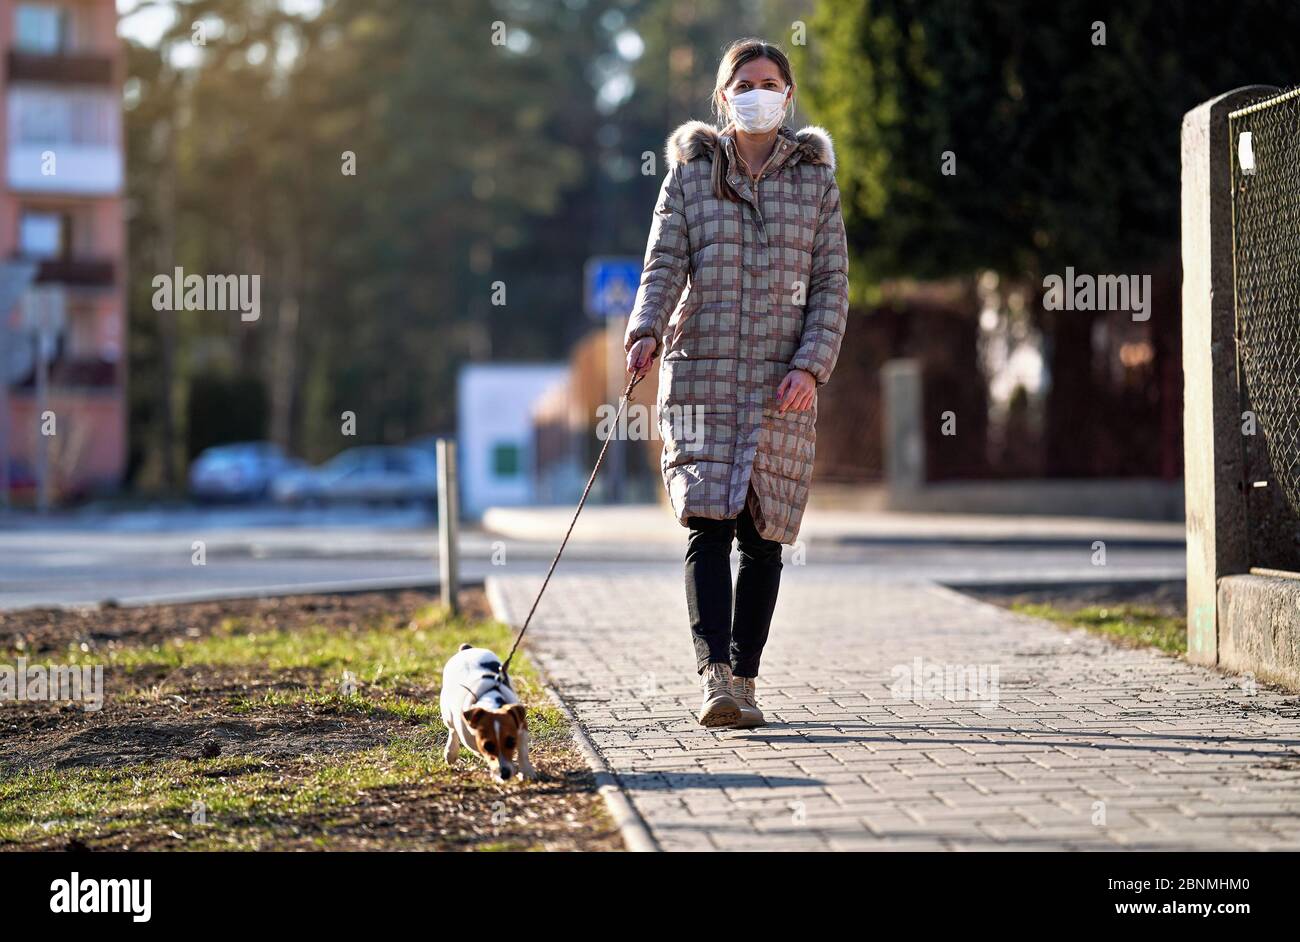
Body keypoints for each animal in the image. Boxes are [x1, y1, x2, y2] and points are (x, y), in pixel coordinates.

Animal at [439, 641, 535, 784]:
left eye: (511, 741)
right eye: (487, 746)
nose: (504, 774)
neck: (490, 700)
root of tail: (466, 650)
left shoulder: (521, 728)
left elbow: (523, 751)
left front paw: (527, 772)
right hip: (447, 711)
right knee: (452, 730)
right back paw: (451, 752)